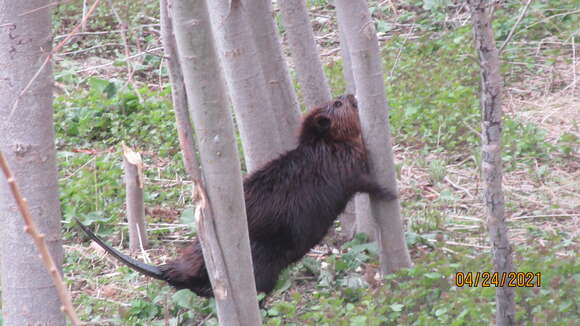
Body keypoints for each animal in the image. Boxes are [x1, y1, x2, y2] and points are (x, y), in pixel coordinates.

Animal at [77, 93, 394, 296]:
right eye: (338, 103)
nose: (351, 93)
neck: (322, 146)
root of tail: (167, 269)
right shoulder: (343, 164)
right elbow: (364, 181)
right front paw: (391, 193)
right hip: (263, 260)